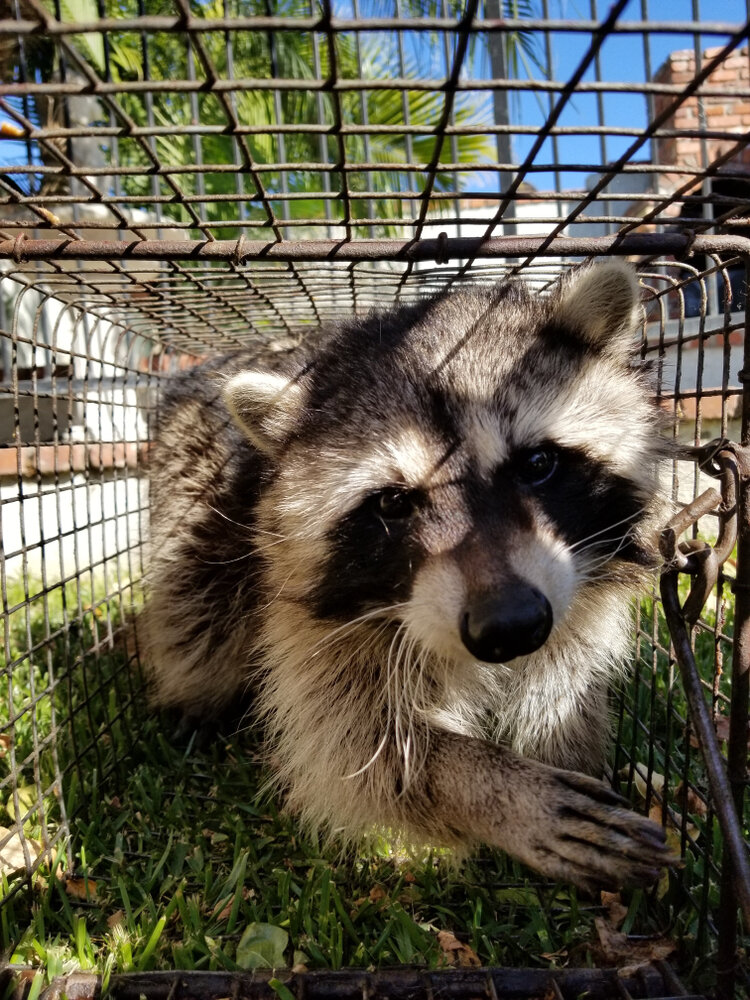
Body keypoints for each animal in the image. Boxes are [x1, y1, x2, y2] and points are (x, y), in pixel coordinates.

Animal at [142, 260, 673, 892]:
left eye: (538, 463)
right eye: (393, 503)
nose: (511, 625)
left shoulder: (576, 590)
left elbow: (562, 679)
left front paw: (561, 745)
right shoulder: (313, 614)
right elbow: (350, 742)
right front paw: (489, 787)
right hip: (194, 495)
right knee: (197, 609)